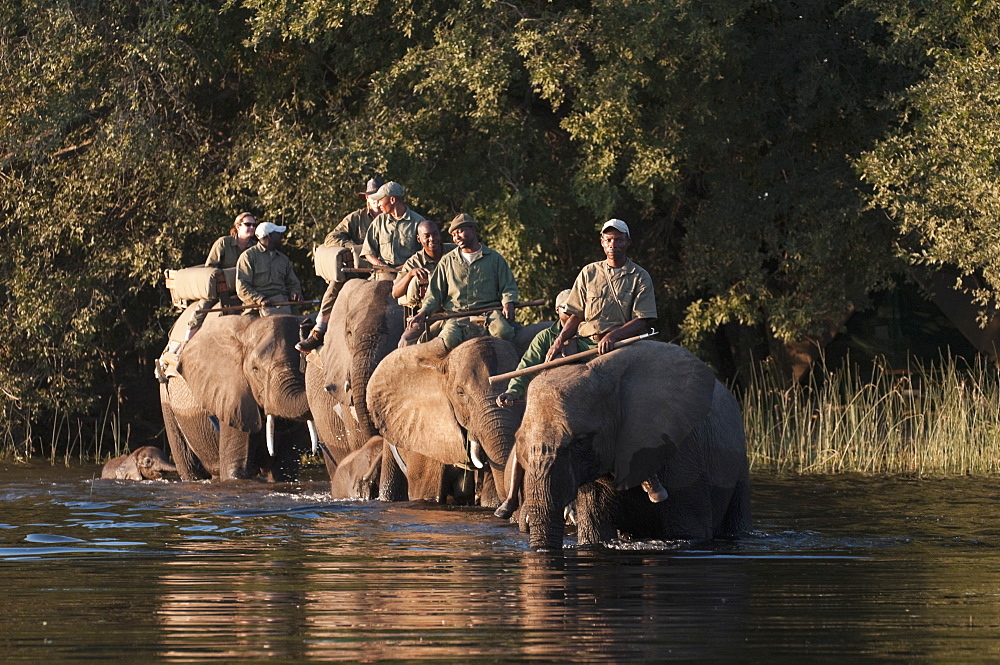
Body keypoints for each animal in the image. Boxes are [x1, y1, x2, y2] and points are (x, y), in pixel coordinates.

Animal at [158, 312, 312, 482]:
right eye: (255, 369)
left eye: (304, 366)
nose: (305, 325)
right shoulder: (232, 398)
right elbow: (236, 468)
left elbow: (284, 469)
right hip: (166, 399)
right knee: (189, 467)